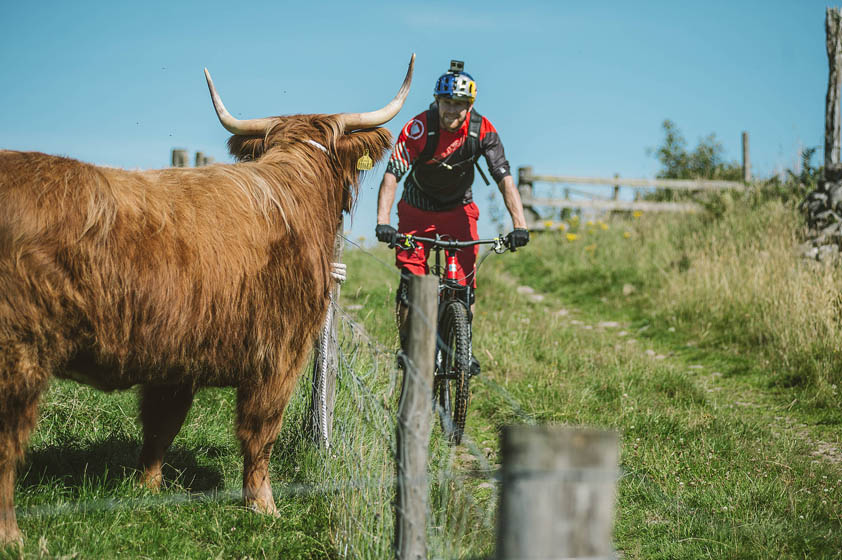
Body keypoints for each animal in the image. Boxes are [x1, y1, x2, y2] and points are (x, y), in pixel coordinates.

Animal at [0, 53, 414, 544]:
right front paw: (264, 507)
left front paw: (149, 490)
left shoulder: (175, 359)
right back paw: (13, 537)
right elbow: (260, 434)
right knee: (7, 446)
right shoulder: (279, 353)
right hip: (18, 358)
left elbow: (161, 426)